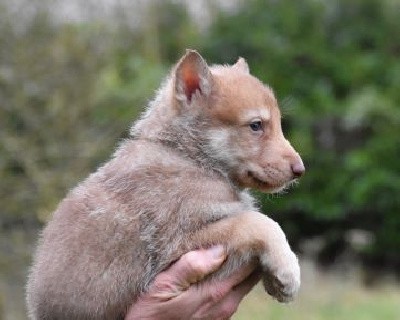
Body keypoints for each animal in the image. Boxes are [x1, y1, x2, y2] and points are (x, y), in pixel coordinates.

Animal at [26, 50, 304, 320]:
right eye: (256, 125)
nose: (300, 170)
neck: (188, 156)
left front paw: (275, 281)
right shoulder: (179, 244)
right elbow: (259, 223)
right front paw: (288, 272)